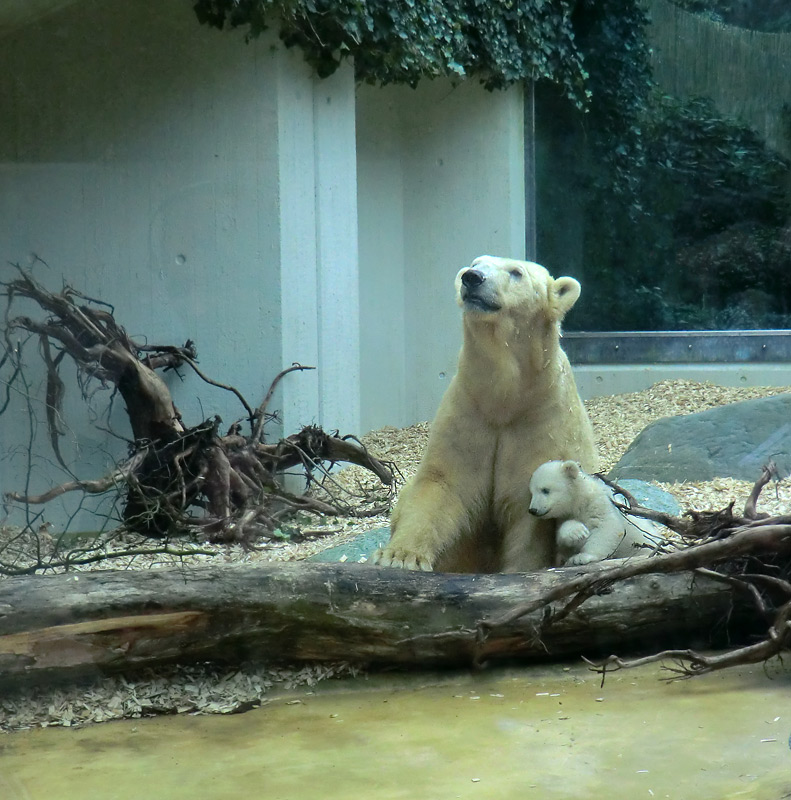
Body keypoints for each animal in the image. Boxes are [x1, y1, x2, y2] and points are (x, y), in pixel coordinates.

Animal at [374, 253, 596, 572]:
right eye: (476, 263)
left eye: (516, 272)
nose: (472, 278)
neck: (505, 399)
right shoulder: (468, 411)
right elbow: (442, 483)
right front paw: (400, 556)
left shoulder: (544, 422)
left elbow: (529, 504)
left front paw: (521, 570)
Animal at [528, 460, 660, 564]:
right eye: (532, 492)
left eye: (545, 490)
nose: (533, 510)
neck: (580, 499)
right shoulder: (564, 516)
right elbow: (563, 539)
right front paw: (578, 532)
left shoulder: (599, 504)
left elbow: (607, 527)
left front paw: (582, 557)